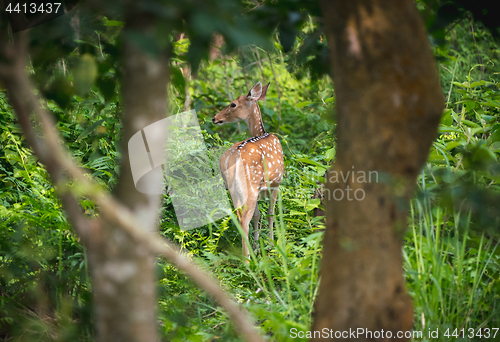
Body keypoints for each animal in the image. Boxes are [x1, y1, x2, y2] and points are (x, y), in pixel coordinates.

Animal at [212, 82, 286, 256]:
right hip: (250, 186)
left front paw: (257, 245)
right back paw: (247, 258)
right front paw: (271, 244)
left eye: (233, 104)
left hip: (233, 188)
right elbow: (270, 213)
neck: (262, 132)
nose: (215, 118)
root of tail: (231, 158)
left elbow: (258, 215)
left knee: (239, 216)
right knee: (244, 219)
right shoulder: (276, 183)